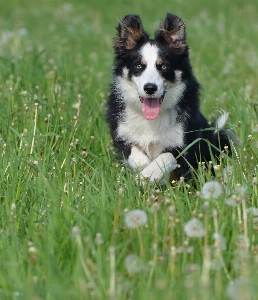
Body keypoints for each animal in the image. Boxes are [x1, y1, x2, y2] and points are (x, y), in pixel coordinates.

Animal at [106, 14, 237, 184]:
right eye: (139, 66)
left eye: (164, 66)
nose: (150, 88)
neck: (151, 120)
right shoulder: (122, 136)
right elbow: (137, 157)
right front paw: (143, 173)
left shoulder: (183, 143)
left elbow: (166, 156)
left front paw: (150, 174)